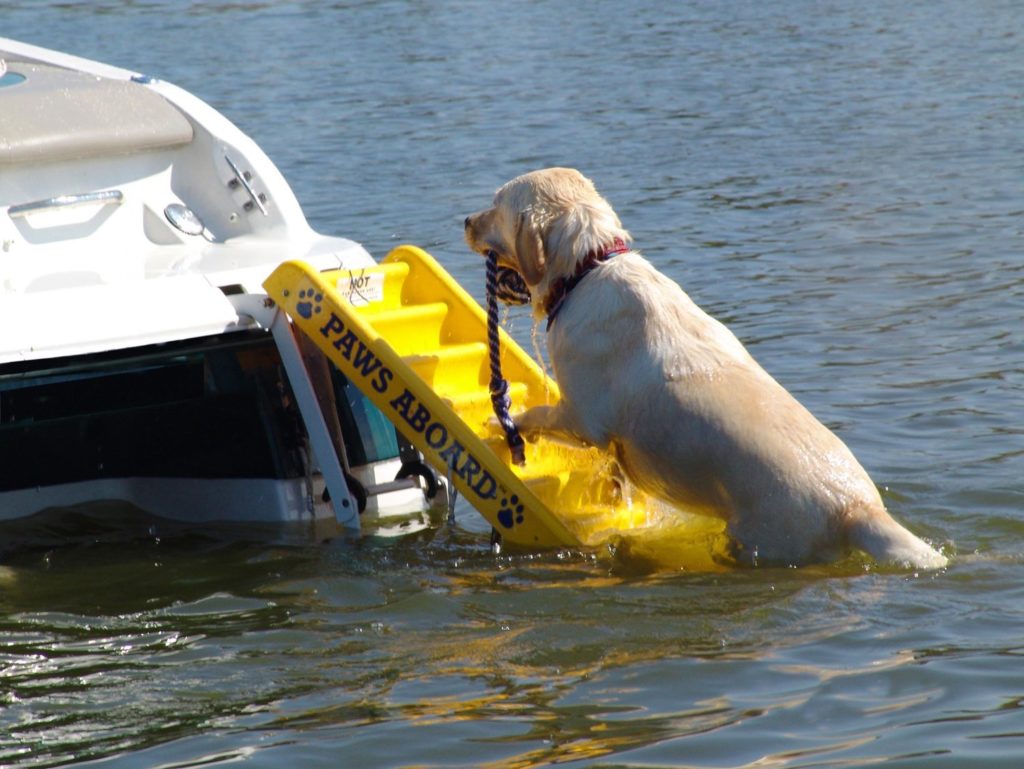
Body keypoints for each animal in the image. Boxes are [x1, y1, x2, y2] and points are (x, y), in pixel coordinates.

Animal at [464, 165, 942, 569]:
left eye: (496, 204)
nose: (465, 220)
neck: (589, 267)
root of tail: (856, 509)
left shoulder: (584, 418)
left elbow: (537, 415)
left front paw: (503, 424)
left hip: (760, 539)